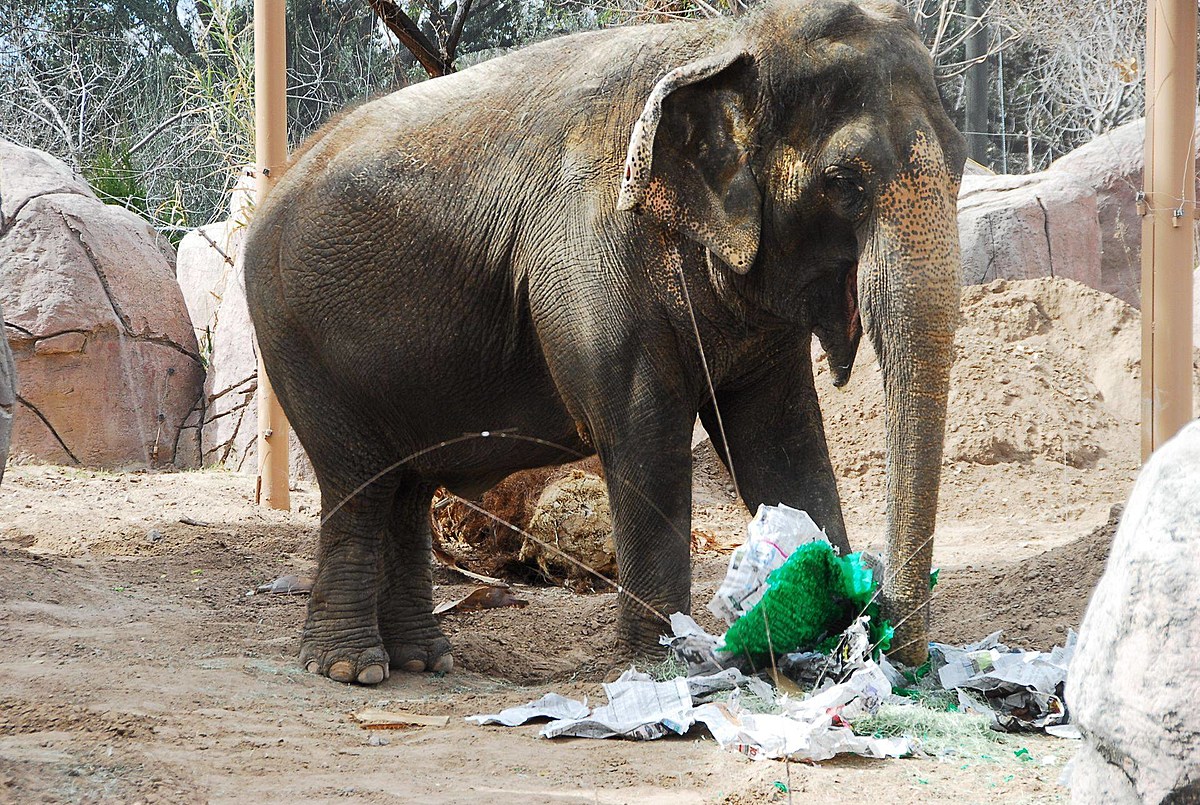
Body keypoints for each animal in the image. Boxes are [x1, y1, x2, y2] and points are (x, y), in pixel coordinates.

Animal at [243, 0, 964, 686]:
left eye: (960, 161)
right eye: (842, 182)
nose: (892, 648)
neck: (727, 40)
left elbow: (781, 446)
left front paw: (821, 637)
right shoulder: (592, 255)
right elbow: (644, 436)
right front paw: (666, 666)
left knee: (407, 487)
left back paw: (423, 660)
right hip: (296, 340)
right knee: (360, 485)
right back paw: (353, 668)